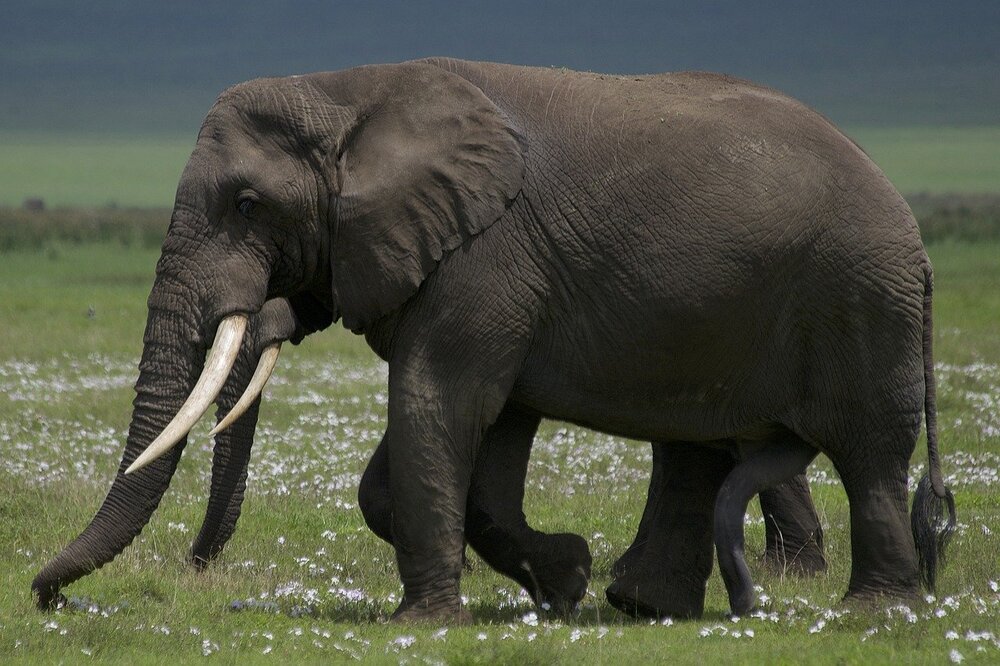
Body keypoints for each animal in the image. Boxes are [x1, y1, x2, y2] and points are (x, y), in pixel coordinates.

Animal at [32, 58, 955, 623]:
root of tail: (912, 226)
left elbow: (438, 400)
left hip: (859, 297)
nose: (47, 598)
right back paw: (643, 606)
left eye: (248, 205)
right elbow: (476, 431)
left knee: (869, 453)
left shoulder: (487, 254)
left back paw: (874, 611)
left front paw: (426, 623)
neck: (348, 92)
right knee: (697, 447)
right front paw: (563, 582)